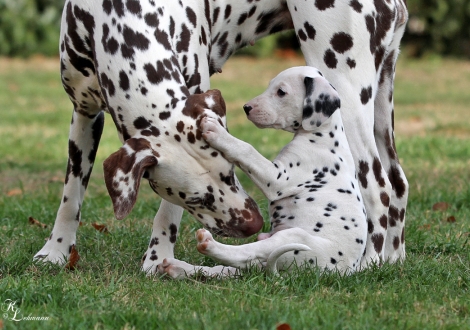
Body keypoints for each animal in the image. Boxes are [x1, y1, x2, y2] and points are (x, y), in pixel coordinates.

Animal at [160, 67, 370, 278]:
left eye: (281, 92)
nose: (246, 107)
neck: (323, 133)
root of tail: (340, 271)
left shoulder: (279, 178)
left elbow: (247, 149)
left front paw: (219, 133)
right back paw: (179, 268)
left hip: (292, 237)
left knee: (245, 253)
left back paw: (209, 246)